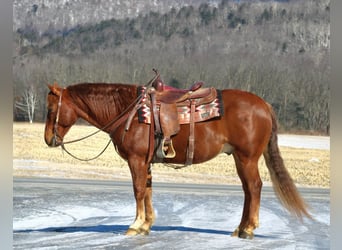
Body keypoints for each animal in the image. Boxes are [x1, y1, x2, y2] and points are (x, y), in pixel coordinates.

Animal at [43, 75, 310, 238]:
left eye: (50, 108)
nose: (48, 139)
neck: (129, 112)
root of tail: (264, 105)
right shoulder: (146, 162)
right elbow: (148, 190)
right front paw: (146, 224)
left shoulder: (136, 160)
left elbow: (138, 190)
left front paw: (135, 225)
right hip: (240, 158)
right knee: (248, 189)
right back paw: (241, 228)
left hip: (247, 158)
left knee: (253, 187)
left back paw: (248, 229)